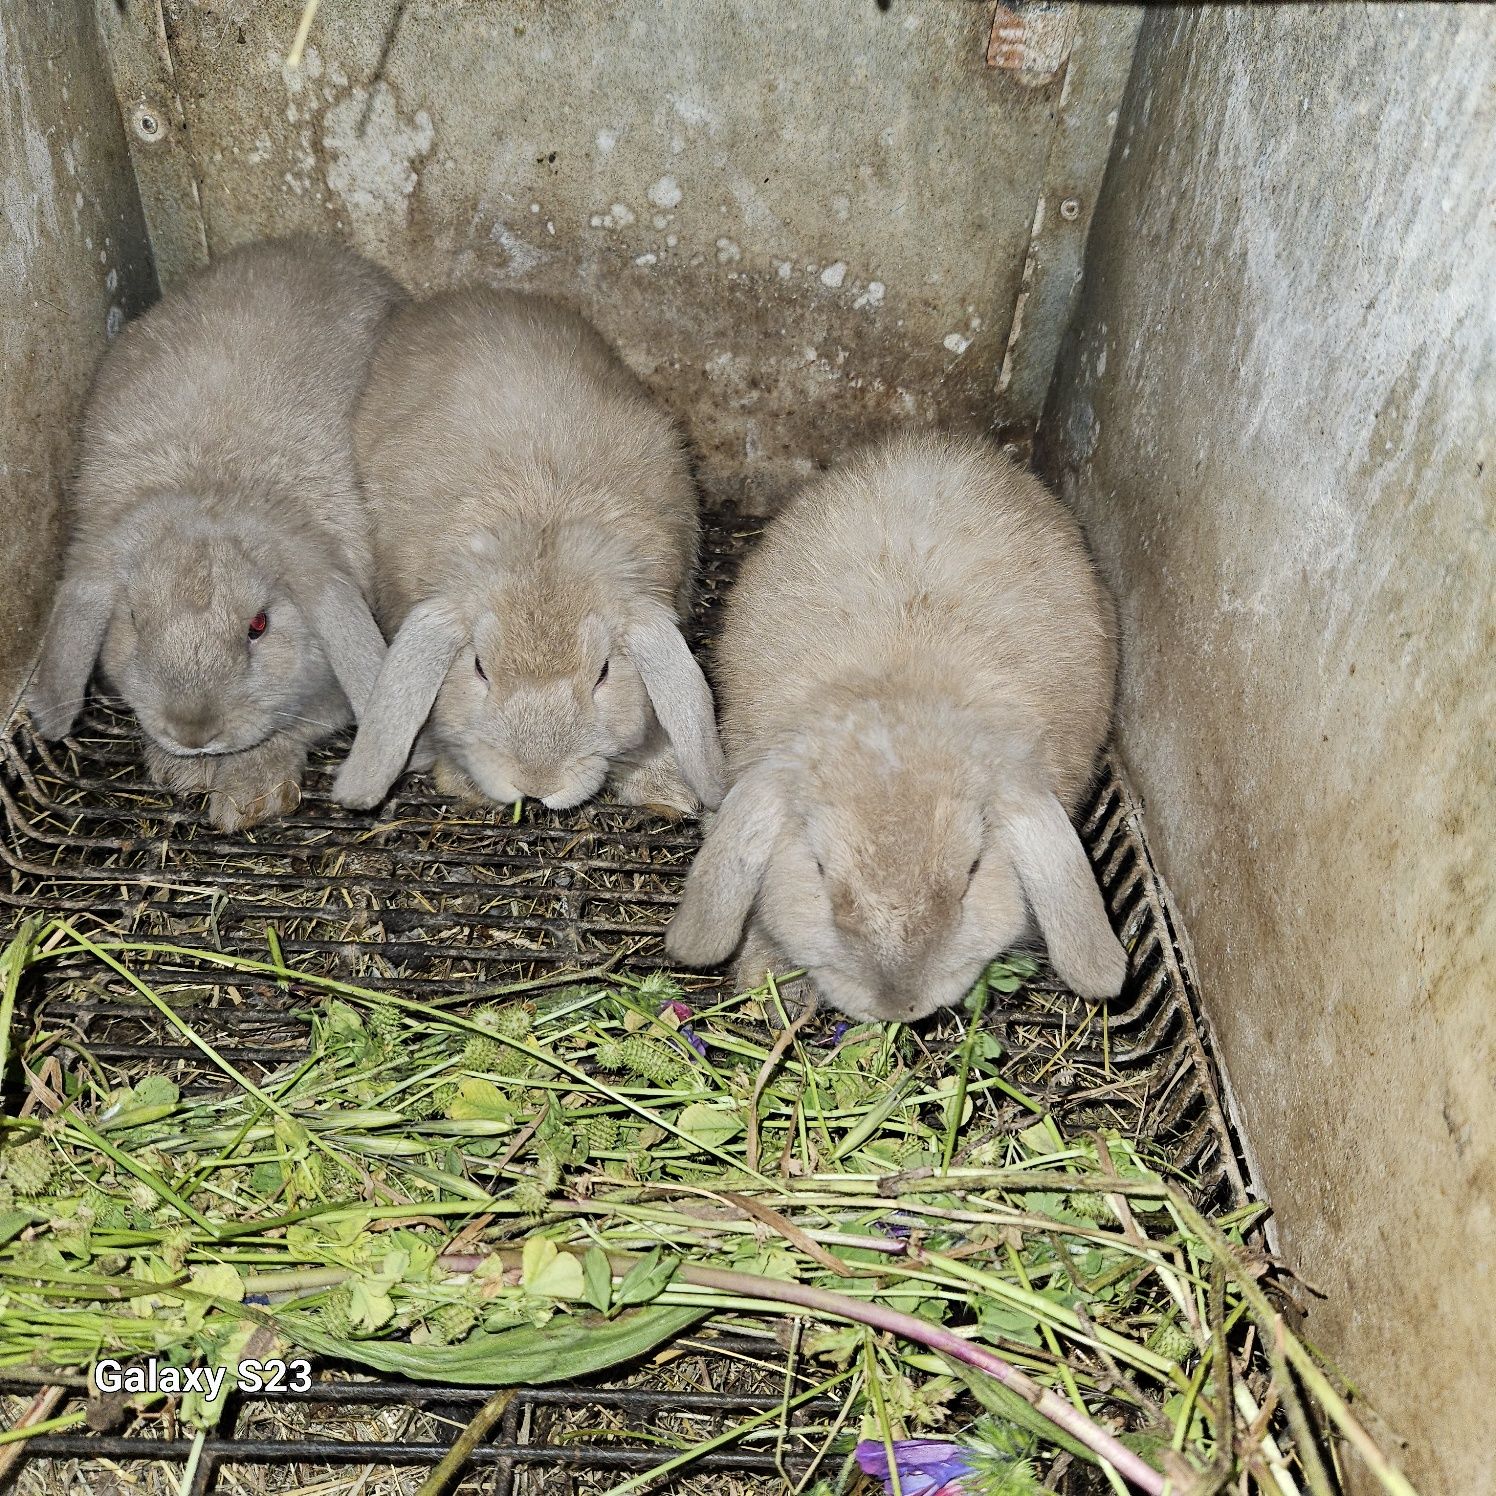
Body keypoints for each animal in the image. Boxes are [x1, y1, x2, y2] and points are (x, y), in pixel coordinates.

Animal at [29, 233, 403, 831]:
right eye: (134, 620)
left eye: (259, 625)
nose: (193, 732)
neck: (216, 482)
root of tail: (307, 246)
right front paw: (179, 771)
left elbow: (292, 729)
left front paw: (246, 793)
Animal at [332, 290, 724, 819]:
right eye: (479, 667)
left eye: (603, 673)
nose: (537, 783)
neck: (545, 525)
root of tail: (472, 295)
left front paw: (667, 793)